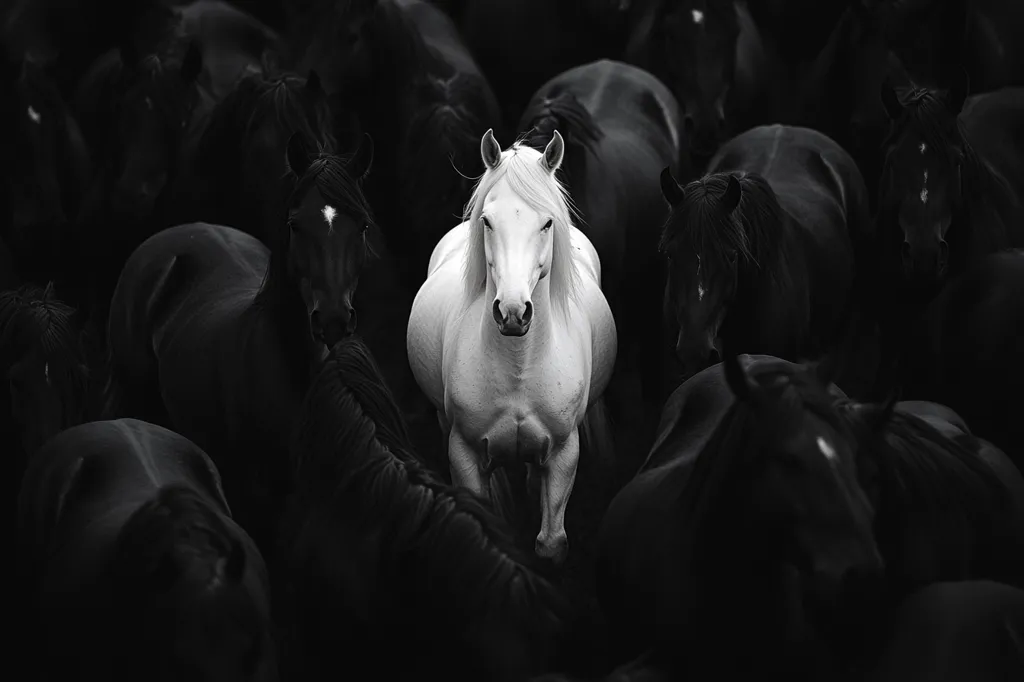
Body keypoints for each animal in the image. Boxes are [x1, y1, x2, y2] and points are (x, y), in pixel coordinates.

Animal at [407, 129, 617, 564]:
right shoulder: (464, 453)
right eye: (487, 221)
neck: (519, 367)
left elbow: (551, 542)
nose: (513, 312)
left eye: (547, 222)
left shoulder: (564, 454)